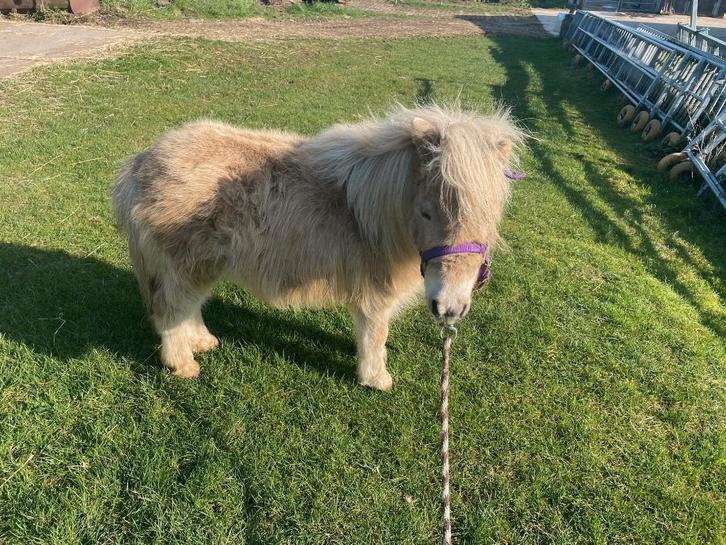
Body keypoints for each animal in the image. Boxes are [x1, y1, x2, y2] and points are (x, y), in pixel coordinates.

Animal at [111, 104, 524, 390]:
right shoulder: (376, 291)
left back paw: (203, 342)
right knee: (171, 310)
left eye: (491, 217)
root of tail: (143, 163)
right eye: (425, 212)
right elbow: (376, 332)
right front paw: (377, 379)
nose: (449, 308)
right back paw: (183, 365)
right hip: (188, 264)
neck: (376, 212)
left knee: (188, 307)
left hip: (202, 265)